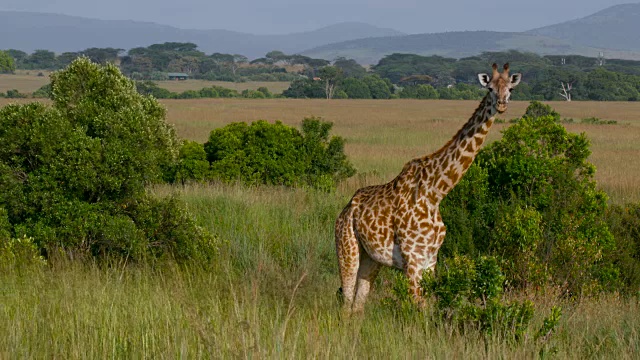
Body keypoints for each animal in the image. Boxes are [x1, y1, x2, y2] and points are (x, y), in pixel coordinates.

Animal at [336, 62, 520, 312]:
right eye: (489, 88)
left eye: (510, 89)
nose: (501, 104)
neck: (435, 193)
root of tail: (345, 210)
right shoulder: (412, 260)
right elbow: (417, 309)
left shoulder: (430, 260)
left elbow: (430, 305)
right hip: (347, 248)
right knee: (346, 303)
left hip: (371, 259)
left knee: (358, 304)